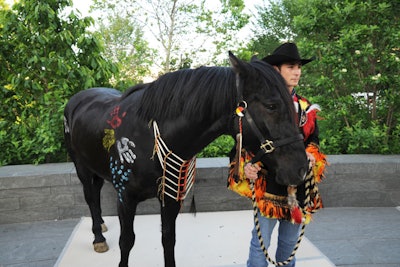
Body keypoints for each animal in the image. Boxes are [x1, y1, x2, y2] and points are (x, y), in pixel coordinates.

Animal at [63, 52, 306, 267]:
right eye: (271, 105)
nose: (300, 168)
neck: (148, 138)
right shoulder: (125, 197)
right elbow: (127, 241)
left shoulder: (171, 196)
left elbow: (168, 239)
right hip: (81, 167)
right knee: (91, 198)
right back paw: (98, 237)